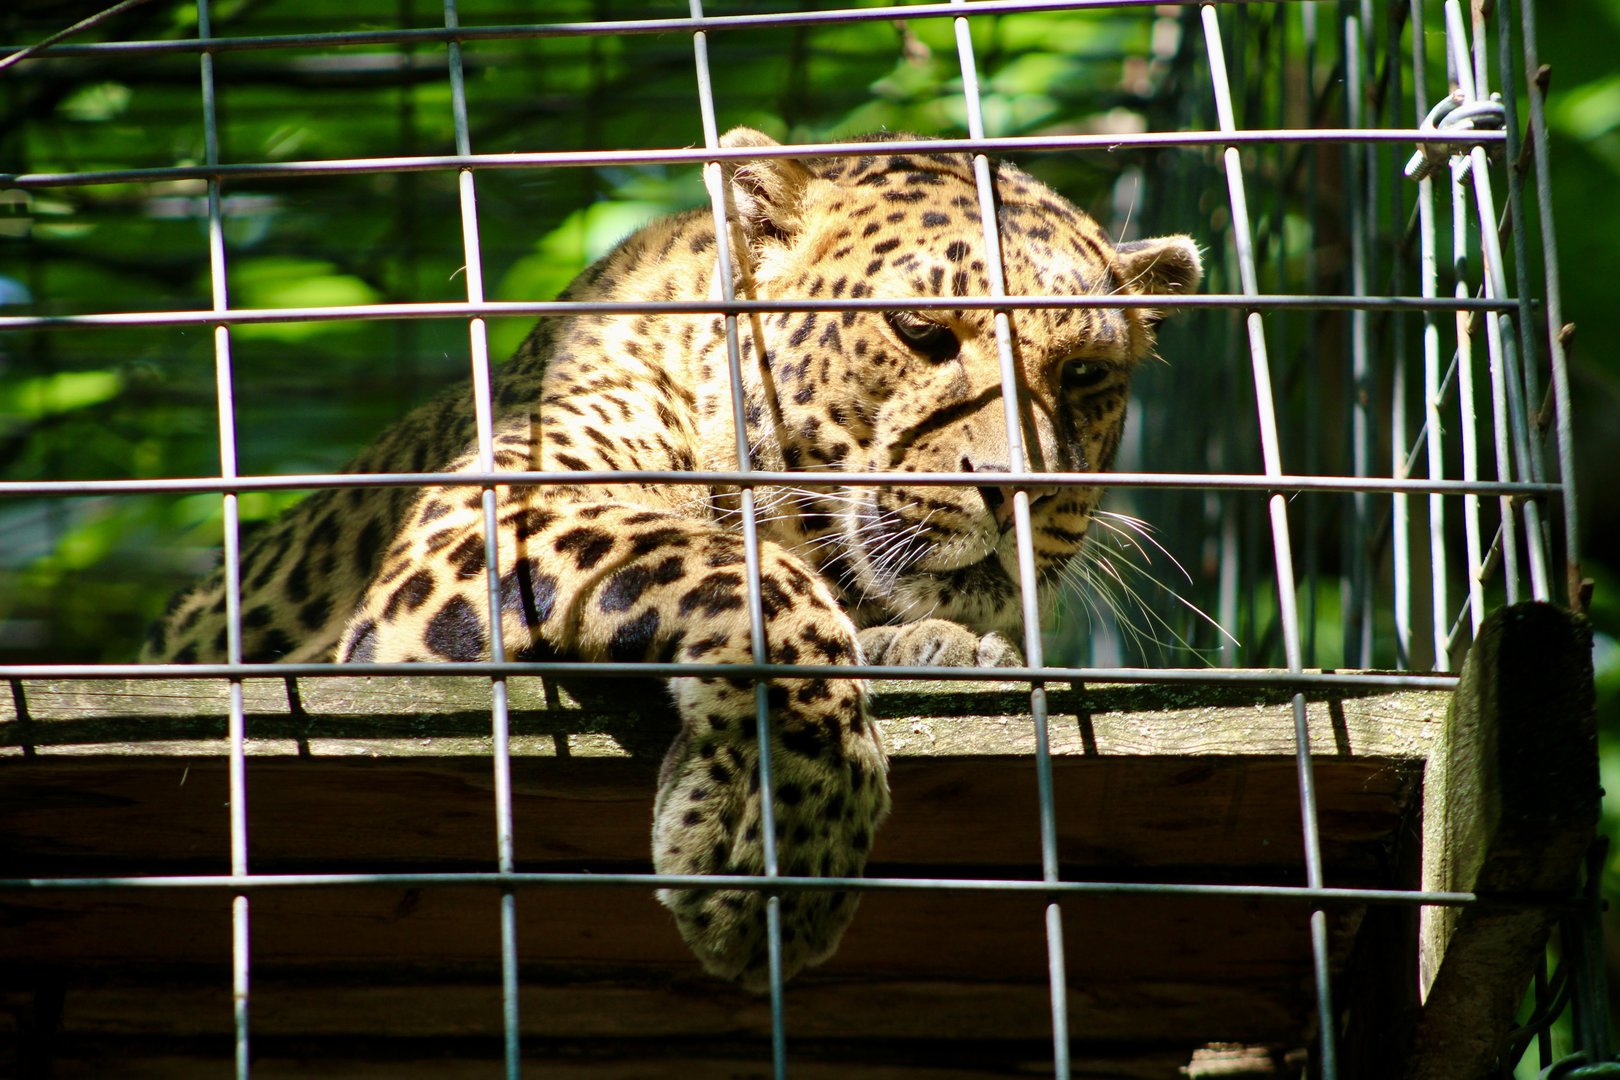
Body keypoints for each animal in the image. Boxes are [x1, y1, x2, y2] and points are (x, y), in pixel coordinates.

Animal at [144, 128, 1202, 991]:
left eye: (1087, 375)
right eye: (921, 333)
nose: (1021, 488)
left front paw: (936, 647)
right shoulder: (481, 524)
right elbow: (743, 572)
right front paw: (776, 840)